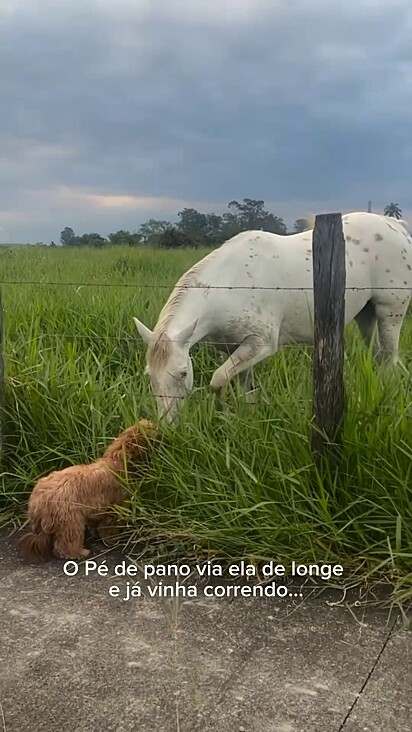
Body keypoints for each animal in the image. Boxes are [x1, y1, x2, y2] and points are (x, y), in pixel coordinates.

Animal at [18, 420, 159, 564]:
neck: (118, 460)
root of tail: (40, 501)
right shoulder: (114, 506)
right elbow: (110, 527)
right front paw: (112, 539)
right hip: (70, 520)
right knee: (66, 543)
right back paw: (79, 552)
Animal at [133, 212, 412, 424]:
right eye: (150, 376)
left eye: (182, 373)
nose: (168, 425)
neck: (229, 285)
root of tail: (396, 226)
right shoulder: (236, 348)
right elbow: (246, 390)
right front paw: (247, 420)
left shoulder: (261, 343)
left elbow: (218, 380)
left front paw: (223, 410)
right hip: (366, 315)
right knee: (377, 356)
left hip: (390, 312)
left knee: (389, 360)